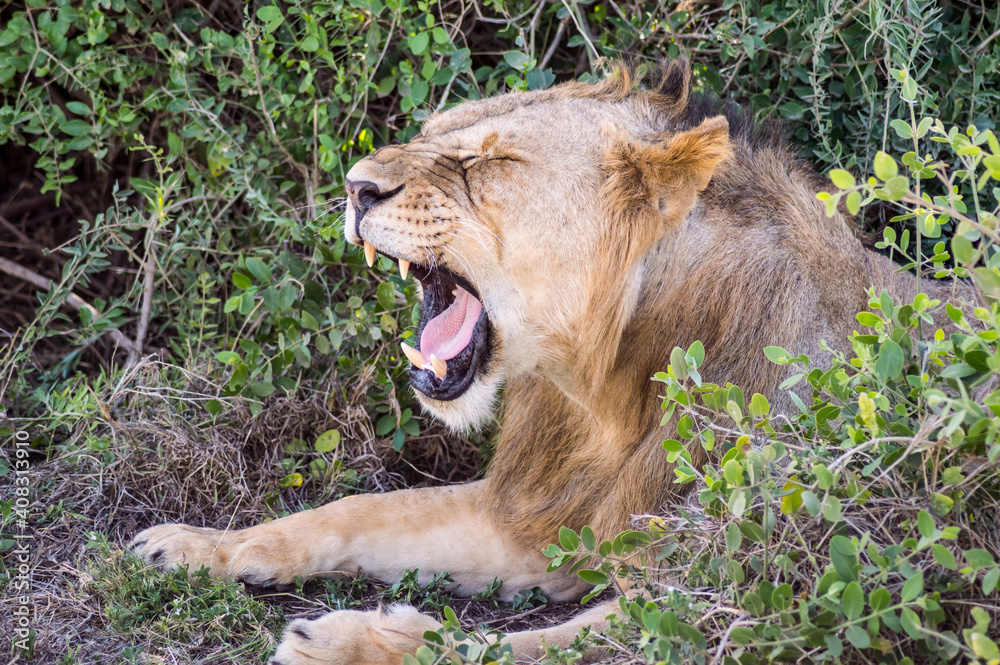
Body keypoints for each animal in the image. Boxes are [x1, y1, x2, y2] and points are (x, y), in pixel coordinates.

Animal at [131, 59, 952, 660]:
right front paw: (200, 545)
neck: (606, 392)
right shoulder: (536, 519)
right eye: (430, 132)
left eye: (488, 160)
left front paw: (350, 642)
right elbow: (359, 510)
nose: (356, 186)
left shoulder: (721, 592)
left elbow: (515, 647)